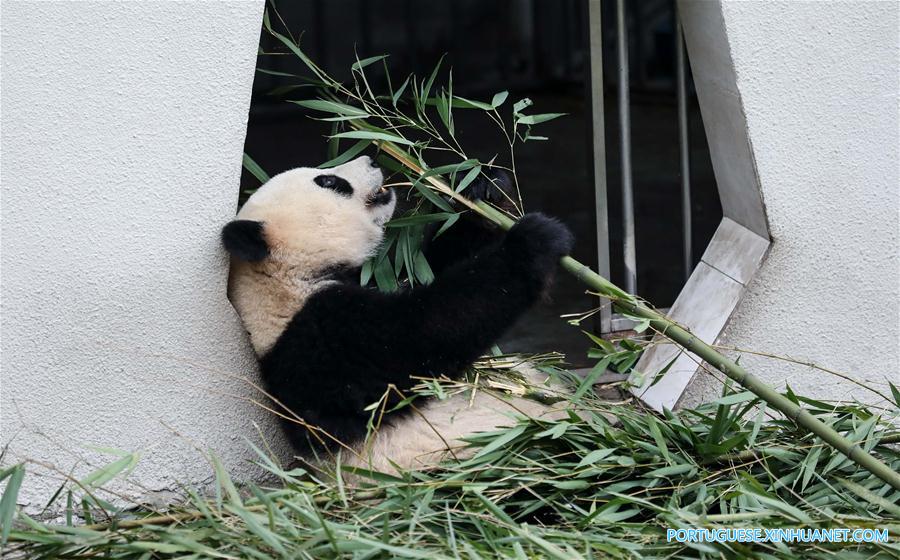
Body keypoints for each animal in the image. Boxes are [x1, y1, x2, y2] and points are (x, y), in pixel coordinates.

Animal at [222, 155, 575, 475]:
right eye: (329, 182)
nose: (372, 159)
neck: (288, 278)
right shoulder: (324, 339)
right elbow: (429, 331)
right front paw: (532, 241)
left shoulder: (378, 280)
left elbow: (433, 265)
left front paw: (482, 188)